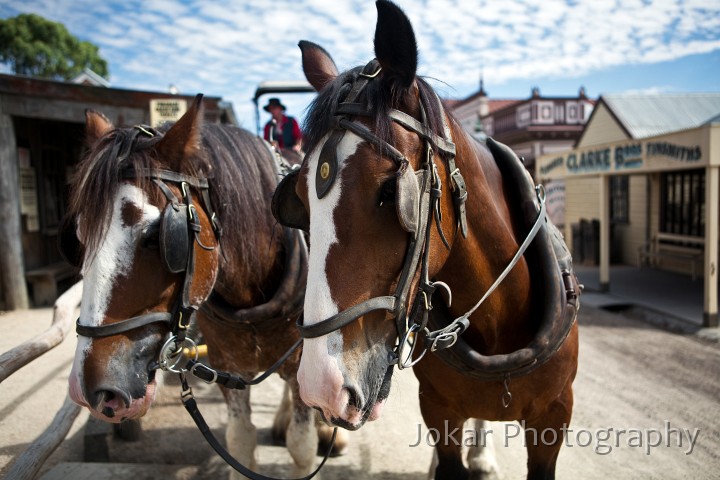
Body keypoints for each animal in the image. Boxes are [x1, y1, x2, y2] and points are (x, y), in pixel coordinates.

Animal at [64, 95, 340, 478]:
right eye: (78, 236)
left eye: (158, 237)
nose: (90, 390)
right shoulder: (229, 365)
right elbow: (240, 441)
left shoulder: (304, 358)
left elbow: (301, 446)